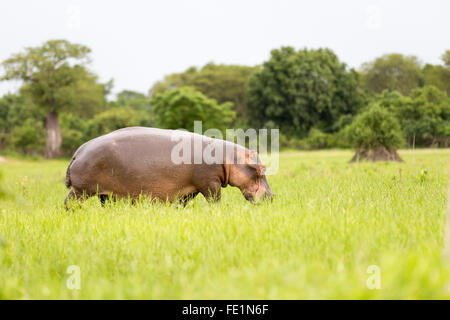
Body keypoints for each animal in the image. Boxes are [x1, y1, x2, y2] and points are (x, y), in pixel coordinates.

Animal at [64, 127, 272, 208]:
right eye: (261, 169)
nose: (272, 197)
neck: (229, 158)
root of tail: (78, 152)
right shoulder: (209, 183)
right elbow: (215, 200)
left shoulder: (189, 188)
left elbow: (183, 202)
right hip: (81, 190)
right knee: (69, 202)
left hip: (105, 193)